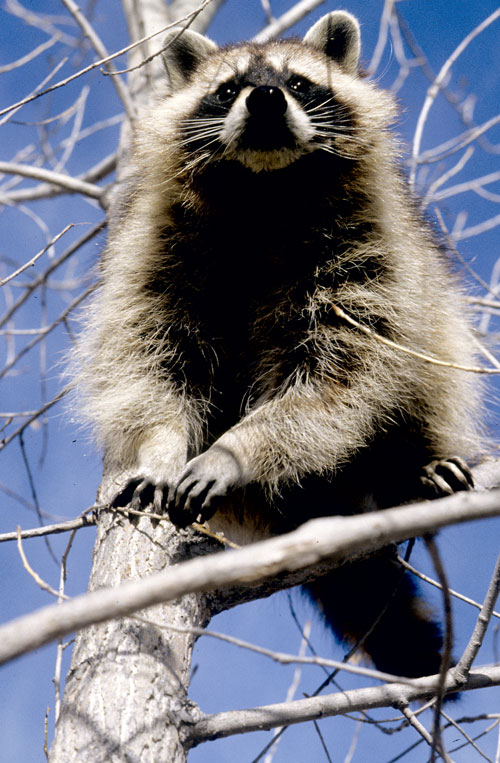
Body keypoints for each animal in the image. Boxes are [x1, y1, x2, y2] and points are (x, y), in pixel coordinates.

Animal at [74, 13, 480, 680]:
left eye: (297, 82)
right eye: (229, 89)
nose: (265, 99)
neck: (264, 186)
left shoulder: (368, 245)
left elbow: (339, 376)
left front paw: (237, 450)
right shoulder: (155, 243)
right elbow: (152, 358)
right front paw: (162, 447)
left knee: (430, 362)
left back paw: (411, 462)